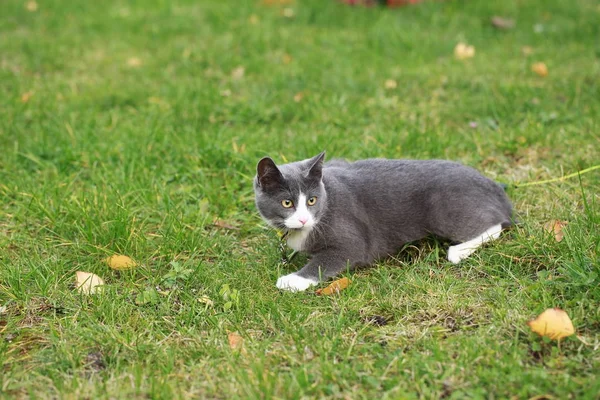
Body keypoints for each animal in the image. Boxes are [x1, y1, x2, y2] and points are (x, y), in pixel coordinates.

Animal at [253, 152, 510, 292]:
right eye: (287, 203)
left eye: (312, 200)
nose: (304, 218)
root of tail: (493, 186)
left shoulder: (352, 239)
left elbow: (329, 259)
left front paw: (292, 280)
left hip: (444, 210)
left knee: (495, 224)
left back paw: (458, 251)